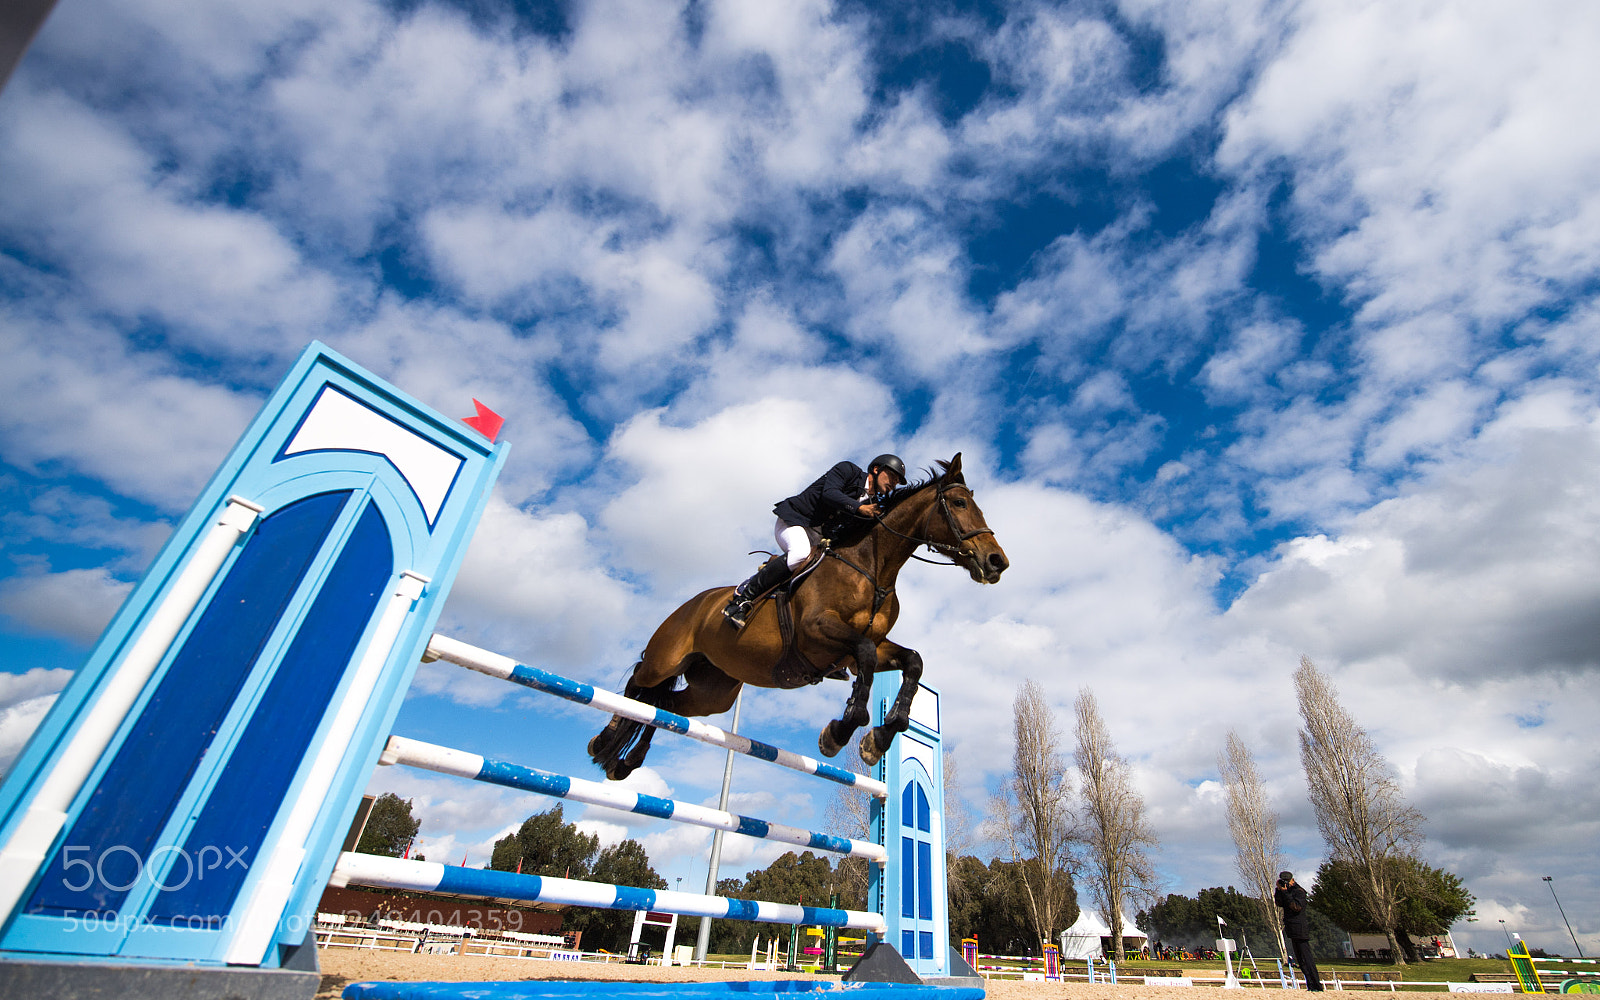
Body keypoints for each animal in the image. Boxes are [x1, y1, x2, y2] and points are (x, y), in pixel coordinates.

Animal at [588, 453, 1008, 781]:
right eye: (958, 503)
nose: (997, 562)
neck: (873, 569)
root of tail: (693, 603)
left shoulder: (870, 647)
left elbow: (913, 662)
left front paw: (878, 740)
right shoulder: (818, 632)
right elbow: (865, 657)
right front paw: (839, 731)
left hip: (714, 689)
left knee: (666, 706)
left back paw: (626, 762)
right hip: (666, 658)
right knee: (638, 686)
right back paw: (604, 741)